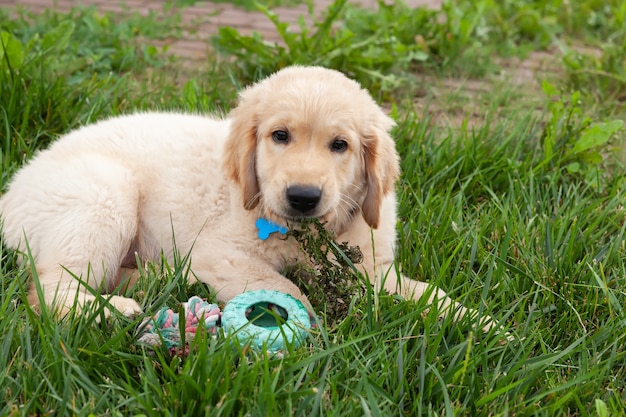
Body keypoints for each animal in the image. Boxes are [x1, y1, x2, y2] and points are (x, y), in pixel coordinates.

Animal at [0, 66, 490, 328]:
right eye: (280, 136)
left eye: (340, 145)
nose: (303, 196)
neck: (305, 232)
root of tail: (11, 190)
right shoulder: (217, 251)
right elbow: (285, 286)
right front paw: (308, 328)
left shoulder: (370, 266)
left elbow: (428, 294)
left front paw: (486, 326)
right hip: (103, 197)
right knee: (46, 290)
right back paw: (113, 310)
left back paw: (156, 278)